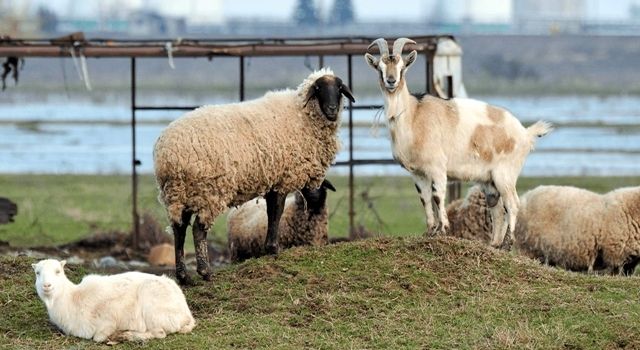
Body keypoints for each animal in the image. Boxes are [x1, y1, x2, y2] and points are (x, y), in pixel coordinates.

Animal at [33, 258, 194, 344]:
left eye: (58, 272)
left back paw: (127, 335)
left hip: (154, 308)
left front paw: (113, 335)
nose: (46, 285)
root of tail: (187, 314)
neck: (72, 297)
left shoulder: (108, 318)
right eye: (37, 273)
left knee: (159, 333)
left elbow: (98, 337)